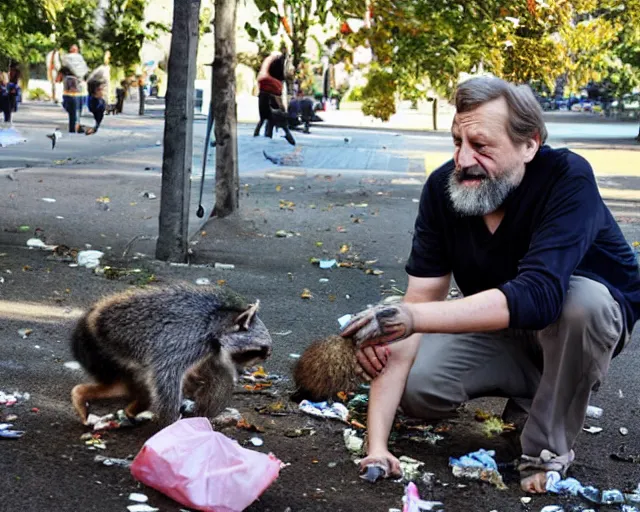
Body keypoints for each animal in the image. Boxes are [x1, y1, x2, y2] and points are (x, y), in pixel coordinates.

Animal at [71, 284, 272, 424]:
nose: (268, 356)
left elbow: (216, 378)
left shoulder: (213, 352)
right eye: (263, 349)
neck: (219, 320)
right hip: (99, 348)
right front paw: (173, 420)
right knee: (131, 384)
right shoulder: (185, 340)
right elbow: (167, 374)